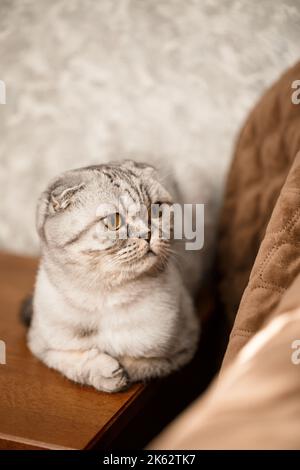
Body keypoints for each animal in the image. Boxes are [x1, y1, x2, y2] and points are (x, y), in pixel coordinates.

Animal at [25, 160, 202, 392]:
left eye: (156, 210)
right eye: (113, 220)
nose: (148, 234)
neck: (107, 297)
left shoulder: (183, 347)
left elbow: (139, 361)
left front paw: (120, 368)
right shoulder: (40, 344)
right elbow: (71, 360)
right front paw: (106, 372)